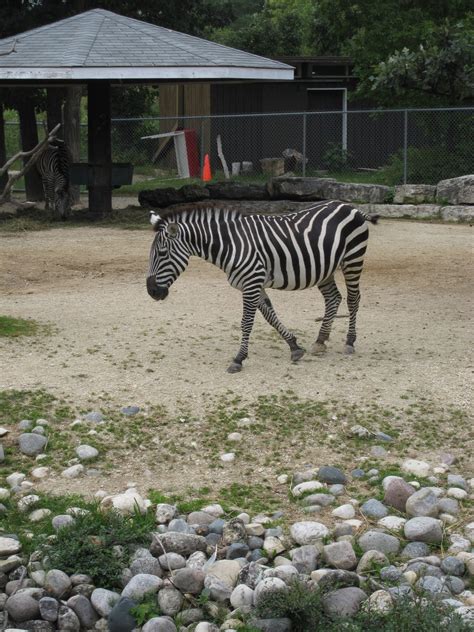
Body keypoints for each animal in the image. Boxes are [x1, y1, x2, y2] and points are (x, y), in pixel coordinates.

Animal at [146, 200, 380, 372]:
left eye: (162, 253)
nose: (151, 292)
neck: (231, 244)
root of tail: (350, 206)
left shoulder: (251, 282)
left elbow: (246, 322)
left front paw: (238, 359)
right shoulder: (251, 284)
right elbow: (270, 316)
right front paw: (294, 347)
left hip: (353, 259)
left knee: (353, 298)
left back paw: (349, 342)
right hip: (325, 268)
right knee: (333, 298)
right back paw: (320, 341)